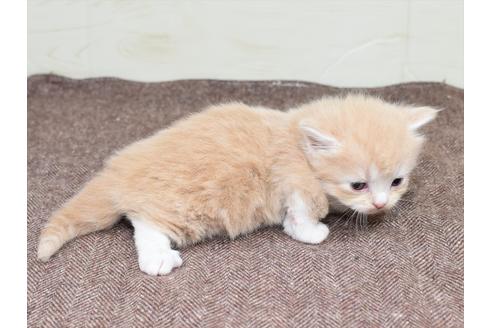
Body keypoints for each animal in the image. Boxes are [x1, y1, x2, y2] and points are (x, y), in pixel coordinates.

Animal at [38, 95, 438, 274]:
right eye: (358, 185)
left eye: (397, 181)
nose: (381, 204)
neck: (293, 136)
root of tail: (119, 171)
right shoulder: (292, 177)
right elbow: (304, 210)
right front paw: (311, 231)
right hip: (186, 207)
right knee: (143, 221)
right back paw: (157, 257)